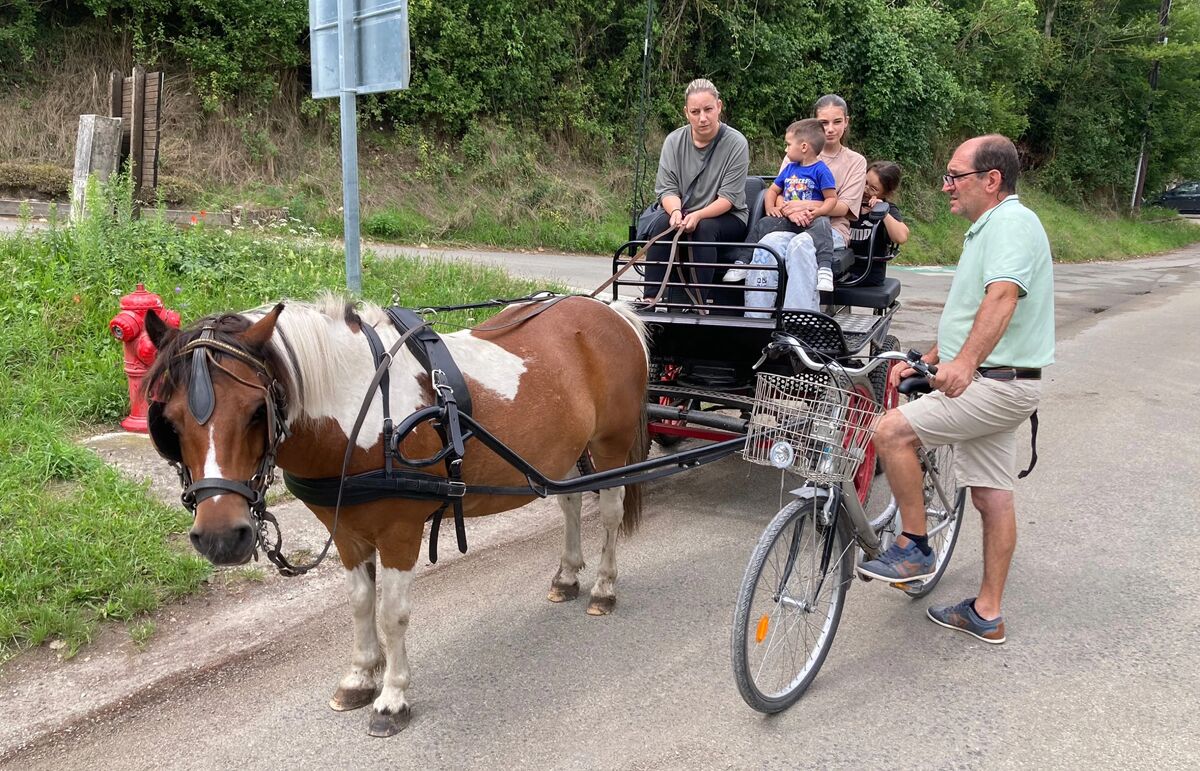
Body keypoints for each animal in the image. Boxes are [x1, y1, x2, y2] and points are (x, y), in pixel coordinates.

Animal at [145, 294, 652, 730]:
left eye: (256, 411)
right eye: (168, 421)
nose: (220, 536)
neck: (359, 410)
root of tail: (612, 310)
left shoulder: (399, 533)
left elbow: (392, 614)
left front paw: (391, 697)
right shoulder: (347, 533)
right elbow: (359, 603)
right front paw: (360, 677)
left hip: (610, 445)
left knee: (609, 511)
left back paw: (603, 588)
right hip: (563, 453)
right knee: (569, 502)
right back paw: (566, 576)